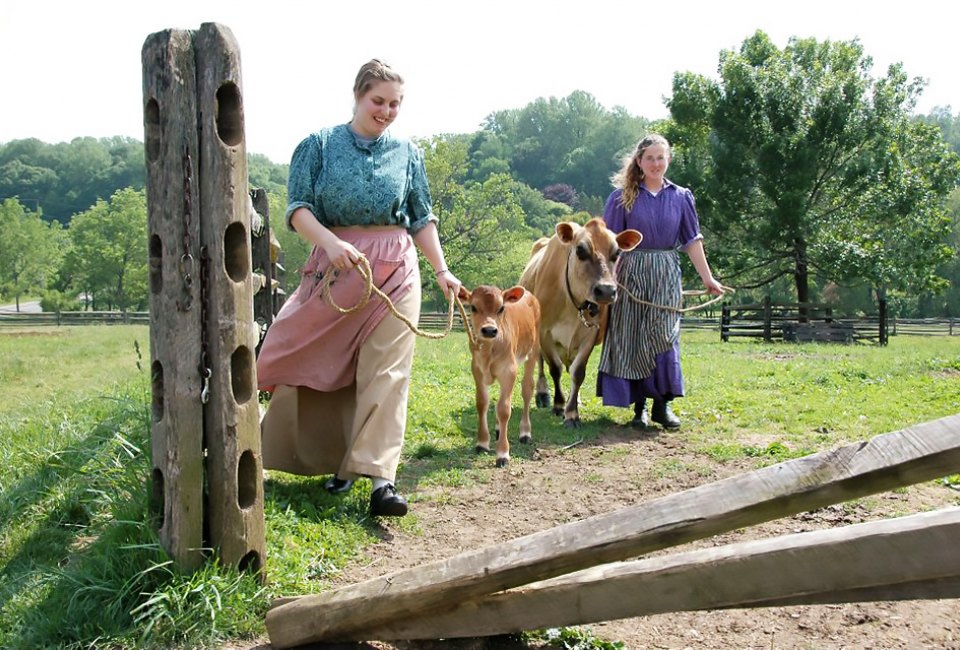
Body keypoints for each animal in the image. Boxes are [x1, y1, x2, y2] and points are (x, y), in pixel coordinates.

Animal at [458, 284, 540, 466]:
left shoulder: (509, 370)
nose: (489, 330)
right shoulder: (477, 370)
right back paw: (497, 428)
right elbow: (482, 403)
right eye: (473, 307)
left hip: (533, 352)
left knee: (527, 389)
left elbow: (504, 409)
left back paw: (525, 432)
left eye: (501, 308)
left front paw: (502, 453)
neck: (488, 351)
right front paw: (482, 442)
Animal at [520, 218, 640, 426]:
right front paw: (559, 405)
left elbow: (578, 372)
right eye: (580, 250)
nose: (606, 291)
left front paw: (572, 412)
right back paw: (542, 394)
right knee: (540, 361)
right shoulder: (545, 333)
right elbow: (555, 368)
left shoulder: (590, 335)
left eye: (617, 253)